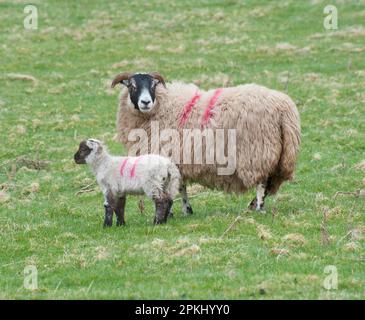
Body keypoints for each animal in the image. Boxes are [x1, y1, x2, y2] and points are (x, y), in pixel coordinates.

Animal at [111, 71, 298, 214]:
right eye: (132, 86)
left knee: (262, 182)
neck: (162, 107)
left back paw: (258, 207)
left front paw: (170, 211)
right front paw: (186, 210)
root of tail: (284, 108)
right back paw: (253, 205)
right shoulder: (179, 158)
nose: (145, 102)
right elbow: (181, 186)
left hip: (258, 151)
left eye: (153, 86)